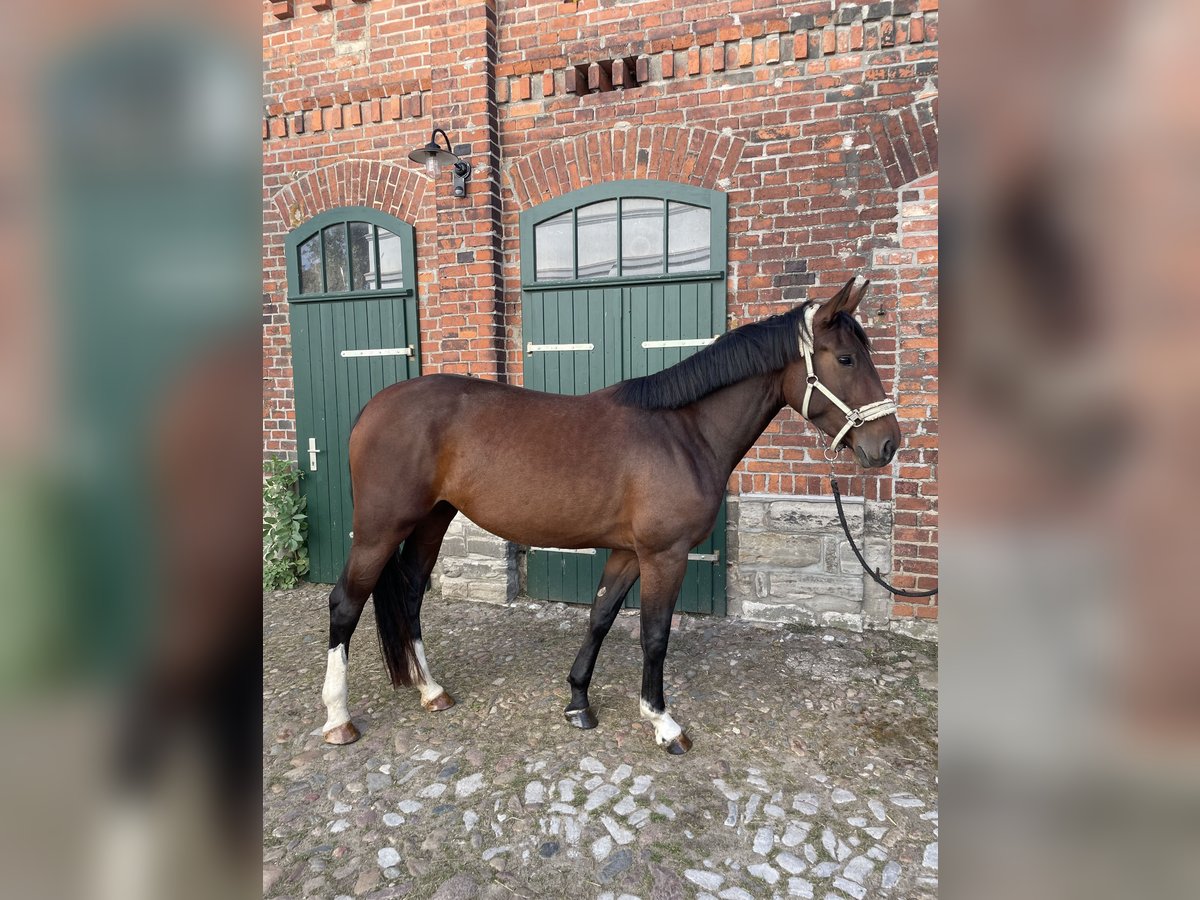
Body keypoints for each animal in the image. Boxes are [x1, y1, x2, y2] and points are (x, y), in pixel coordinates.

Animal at [319, 274, 902, 753]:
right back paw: (338, 719)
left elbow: (599, 617)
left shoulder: (627, 552)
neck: (683, 432)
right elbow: (655, 634)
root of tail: (372, 407)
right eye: (846, 360)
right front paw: (662, 721)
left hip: (432, 521)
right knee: (345, 603)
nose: (888, 444)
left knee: (412, 595)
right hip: (379, 528)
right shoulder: (665, 555)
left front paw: (578, 701)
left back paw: (431, 690)